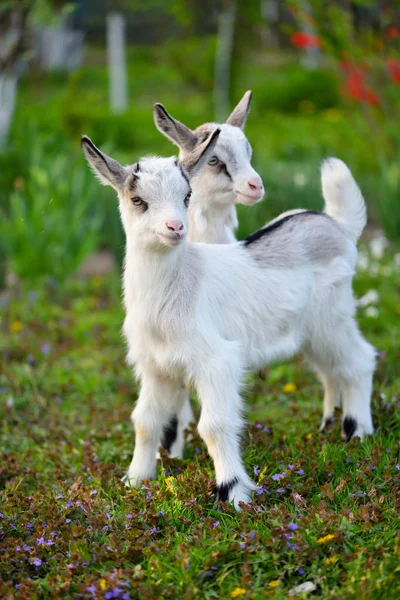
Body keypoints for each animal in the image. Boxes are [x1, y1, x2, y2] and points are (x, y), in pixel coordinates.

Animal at [81, 130, 376, 506]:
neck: (178, 285)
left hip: (332, 318)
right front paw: (135, 481)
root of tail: (338, 225)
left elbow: (214, 426)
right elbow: (145, 421)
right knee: (332, 369)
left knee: (359, 360)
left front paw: (233, 494)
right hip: (312, 334)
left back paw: (357, 433)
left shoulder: (216, 362)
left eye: (187, 195)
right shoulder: (155, 367)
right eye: (137, 199)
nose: (175, 227)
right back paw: (328, 424)